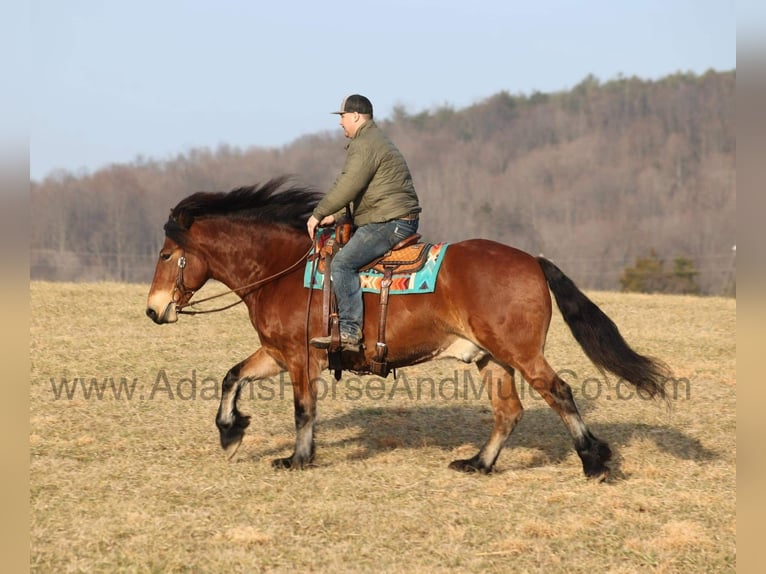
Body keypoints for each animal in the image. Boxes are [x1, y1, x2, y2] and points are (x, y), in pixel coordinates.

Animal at [146, 177, 670, 479]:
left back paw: (594, 462)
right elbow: (232, 377)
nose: (153, 309)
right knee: (509, 412)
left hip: (520, 353)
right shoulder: (276, 353)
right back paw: (478, 464)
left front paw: (297, 458)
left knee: (559, 393)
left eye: (167, 255)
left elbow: (303, 410)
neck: (284, 270)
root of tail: (533, 262)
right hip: (492, 359)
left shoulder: (299, 357)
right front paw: (231, 432)